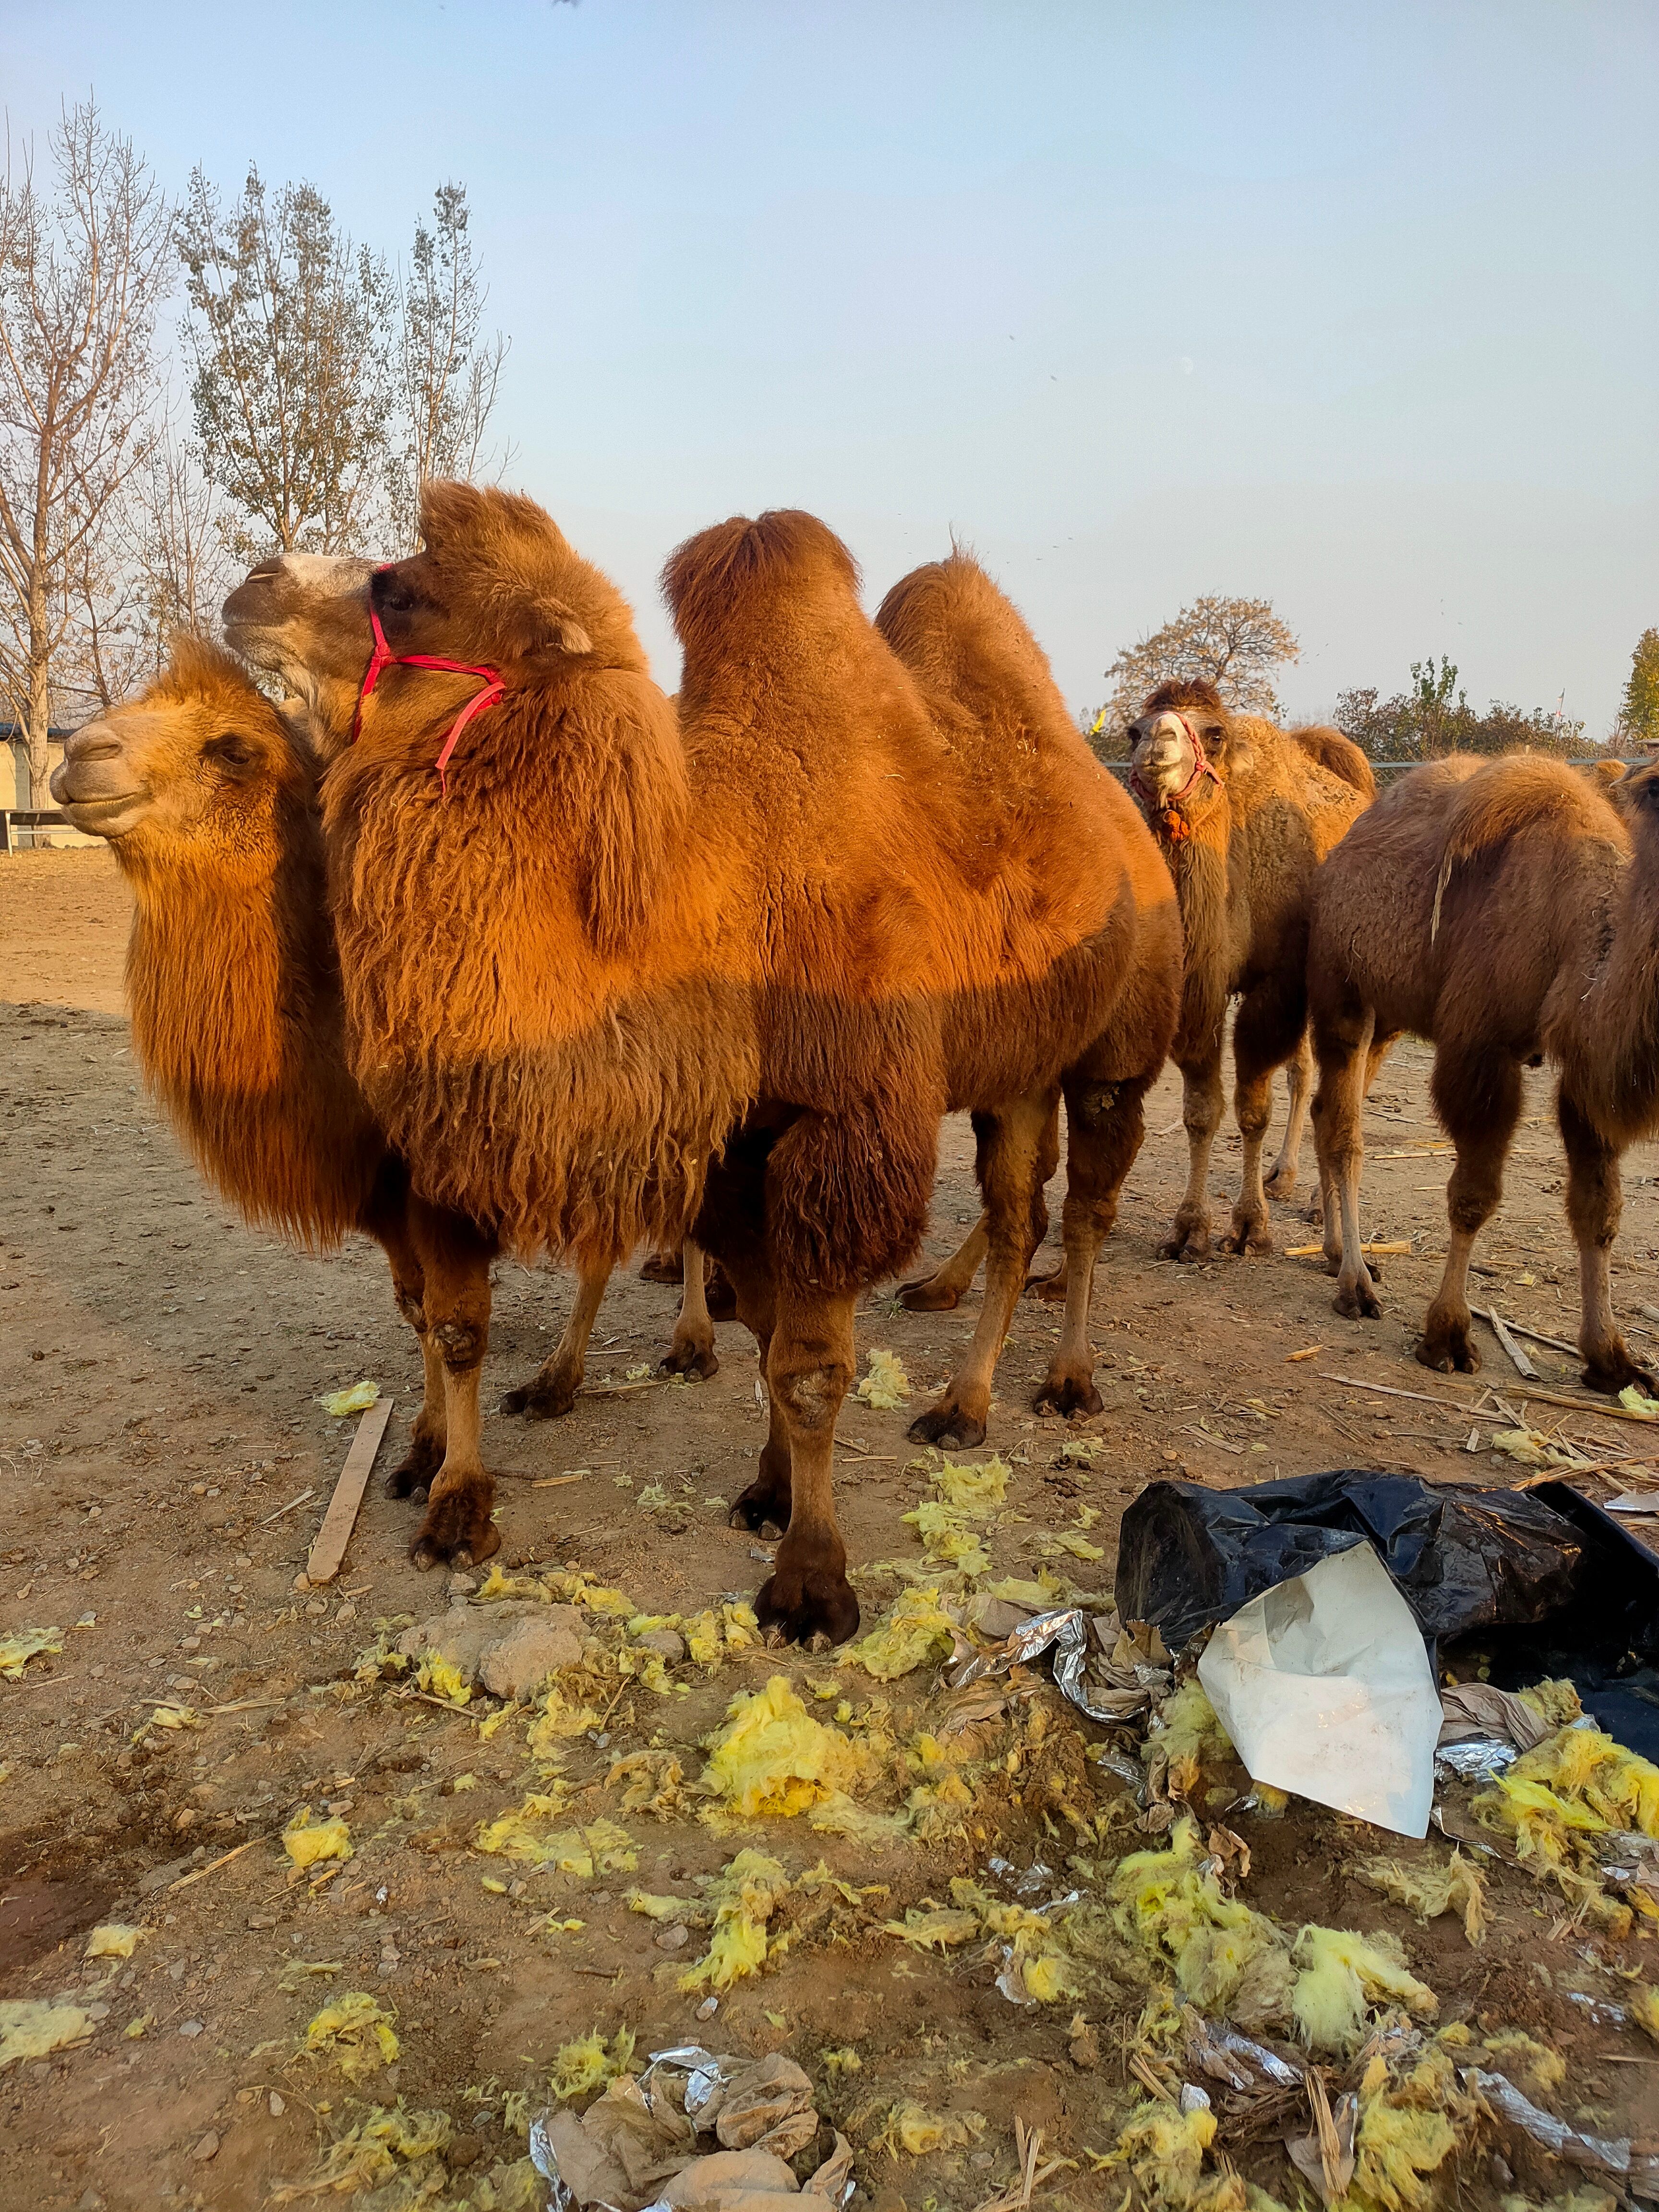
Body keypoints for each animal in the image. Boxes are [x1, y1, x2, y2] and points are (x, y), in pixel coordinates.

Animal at [237, 493, 1185, 1636]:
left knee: (1086, 1210)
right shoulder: (736, 1141)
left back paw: (1065, 1382)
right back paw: (962, 1405)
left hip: (1116, 1051)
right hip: (1014, 1073)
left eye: (405, 591)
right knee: (1016, 1215)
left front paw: (812, 1580)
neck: (719, 897)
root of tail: (1122, 812)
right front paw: (771, 1491)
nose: (251, 586)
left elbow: (813, 1368)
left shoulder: (840, 1129)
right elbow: (770, 1333)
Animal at [1132, 672, 1380, 1265]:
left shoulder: (1275, 983)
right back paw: (1285, 1178)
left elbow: (1252, 1110)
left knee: (1345, 1081)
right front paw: (1188, 1229)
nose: (1157, 741)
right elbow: (1202, 1109)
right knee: (1306, 1071)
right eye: (1133, 729)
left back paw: (1313, 1201)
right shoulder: (1199, 987)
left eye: (1215, 734)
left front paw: (1249, 1227)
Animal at [1309, 752, 1659, 1389]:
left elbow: (1600, 1210)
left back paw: (1336, 1254)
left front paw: (1612, 1358)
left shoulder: (1584, 1079)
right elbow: (1473, 1197)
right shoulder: (1481, 1049)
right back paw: (1356, 1285)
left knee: (1329, 1111)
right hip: (1339, 986)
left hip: (1392, 1013)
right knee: (1344, 1129)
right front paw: (1447, 1335)